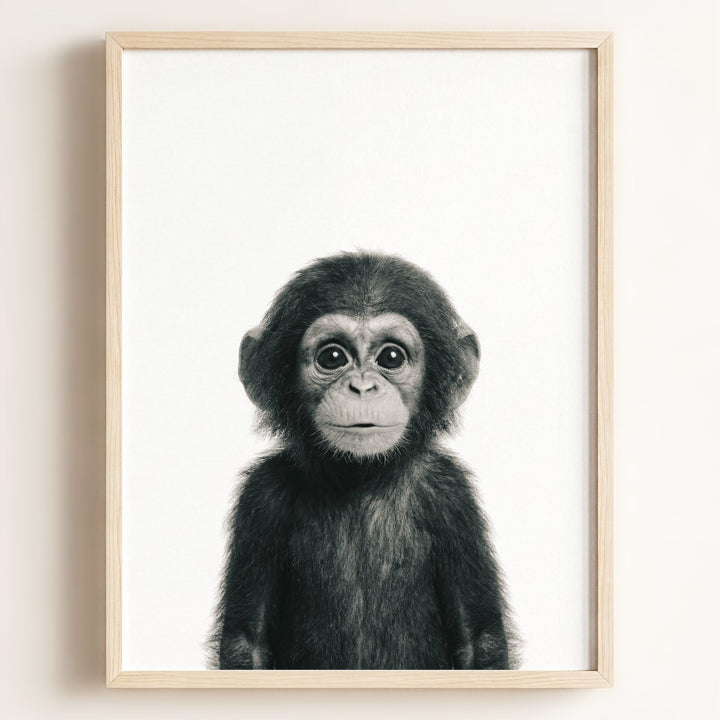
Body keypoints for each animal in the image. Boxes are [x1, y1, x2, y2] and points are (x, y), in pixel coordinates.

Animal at [211, 252, 518, 670]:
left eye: (391, 356)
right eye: (332, 357)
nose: (362, 386)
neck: (360, 477)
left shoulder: (452, 496)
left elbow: (480, 640)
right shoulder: (261, 496)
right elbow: (246, 642)